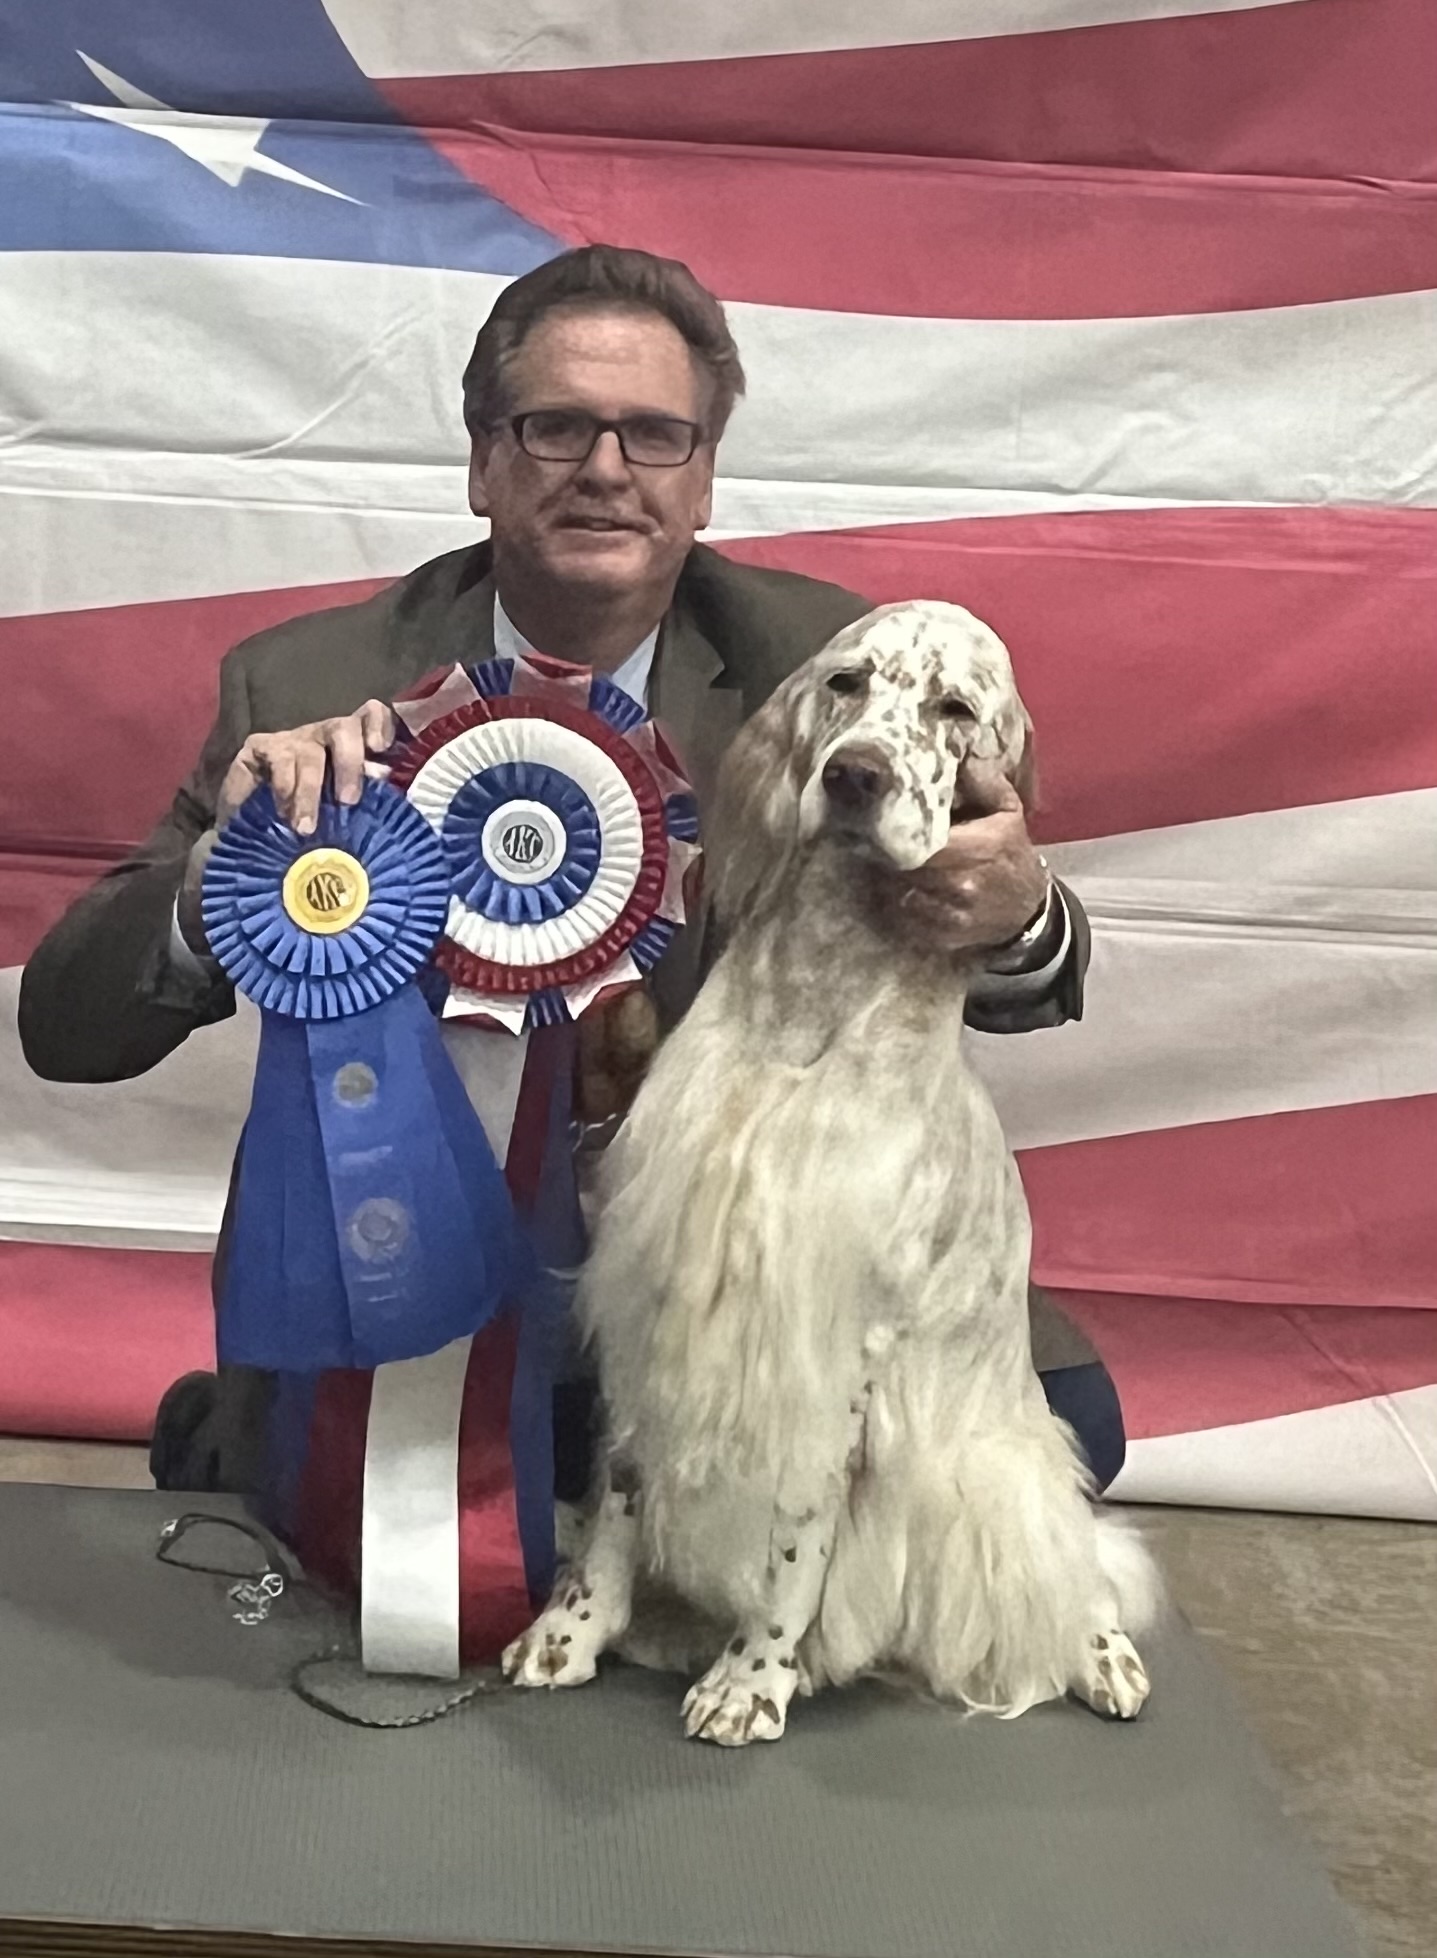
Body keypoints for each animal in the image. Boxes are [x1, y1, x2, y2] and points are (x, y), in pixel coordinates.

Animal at [505, 600, 1158, 1744]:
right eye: (848, 683)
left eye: (954, 709)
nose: (856, 775)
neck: (809, 1008)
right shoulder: (653, 1285)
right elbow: (621, 1494)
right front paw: (569, 1631)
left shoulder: (837, 1342)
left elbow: (795, 1542)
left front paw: (751, 1677)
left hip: (1003, 1455)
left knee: (1074, 1562)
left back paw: (1102, 1654)